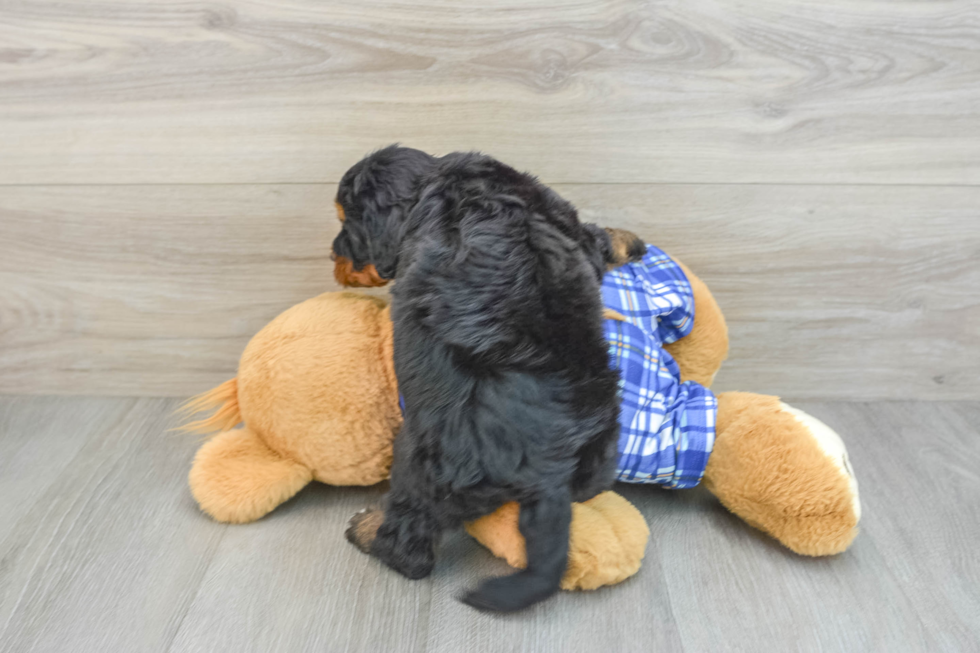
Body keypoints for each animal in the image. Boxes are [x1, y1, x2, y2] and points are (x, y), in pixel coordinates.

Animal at [334, 145, 648, 608]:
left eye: (345, 222)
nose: (332, 256)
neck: (437, 179)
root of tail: (547, 470)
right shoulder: (567, 222)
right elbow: (597, 236)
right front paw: (629, 239)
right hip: (603, 449)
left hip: (421, 460)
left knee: (409, 547)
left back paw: (367, 528)